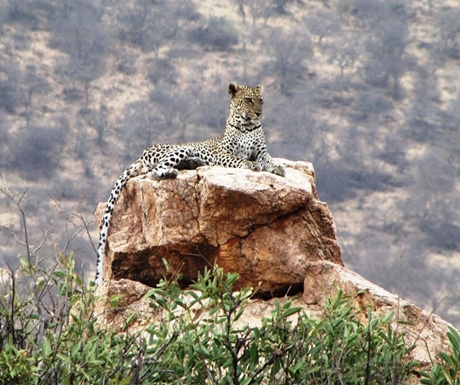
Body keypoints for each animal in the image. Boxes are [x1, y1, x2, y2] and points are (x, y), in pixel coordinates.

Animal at [95, 82, 284, 284]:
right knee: (155, 171)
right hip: (180, 149)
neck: (247, 127)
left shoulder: (261, 152)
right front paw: (251, 165)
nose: (258, 114)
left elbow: (269, 160)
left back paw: (194, 163)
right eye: (248, 100)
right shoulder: (223, 154)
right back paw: (173, 171)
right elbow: (239, 160)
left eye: (261, 100)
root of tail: (143, 153)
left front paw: (278, 168)